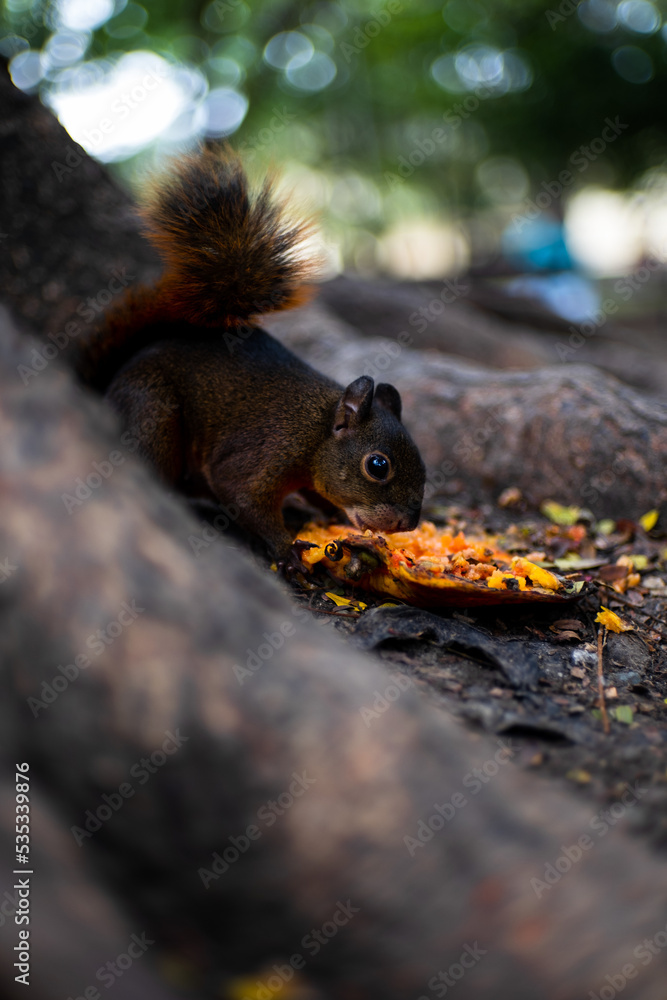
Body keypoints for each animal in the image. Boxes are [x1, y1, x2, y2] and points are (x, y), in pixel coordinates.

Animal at [75, 146, 426, 562]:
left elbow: (317, 494)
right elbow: (242, 494)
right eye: (377, 465)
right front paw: (289, 550)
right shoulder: (270, 449)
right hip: (153, 412)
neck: (317, 431)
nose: (409, 523)